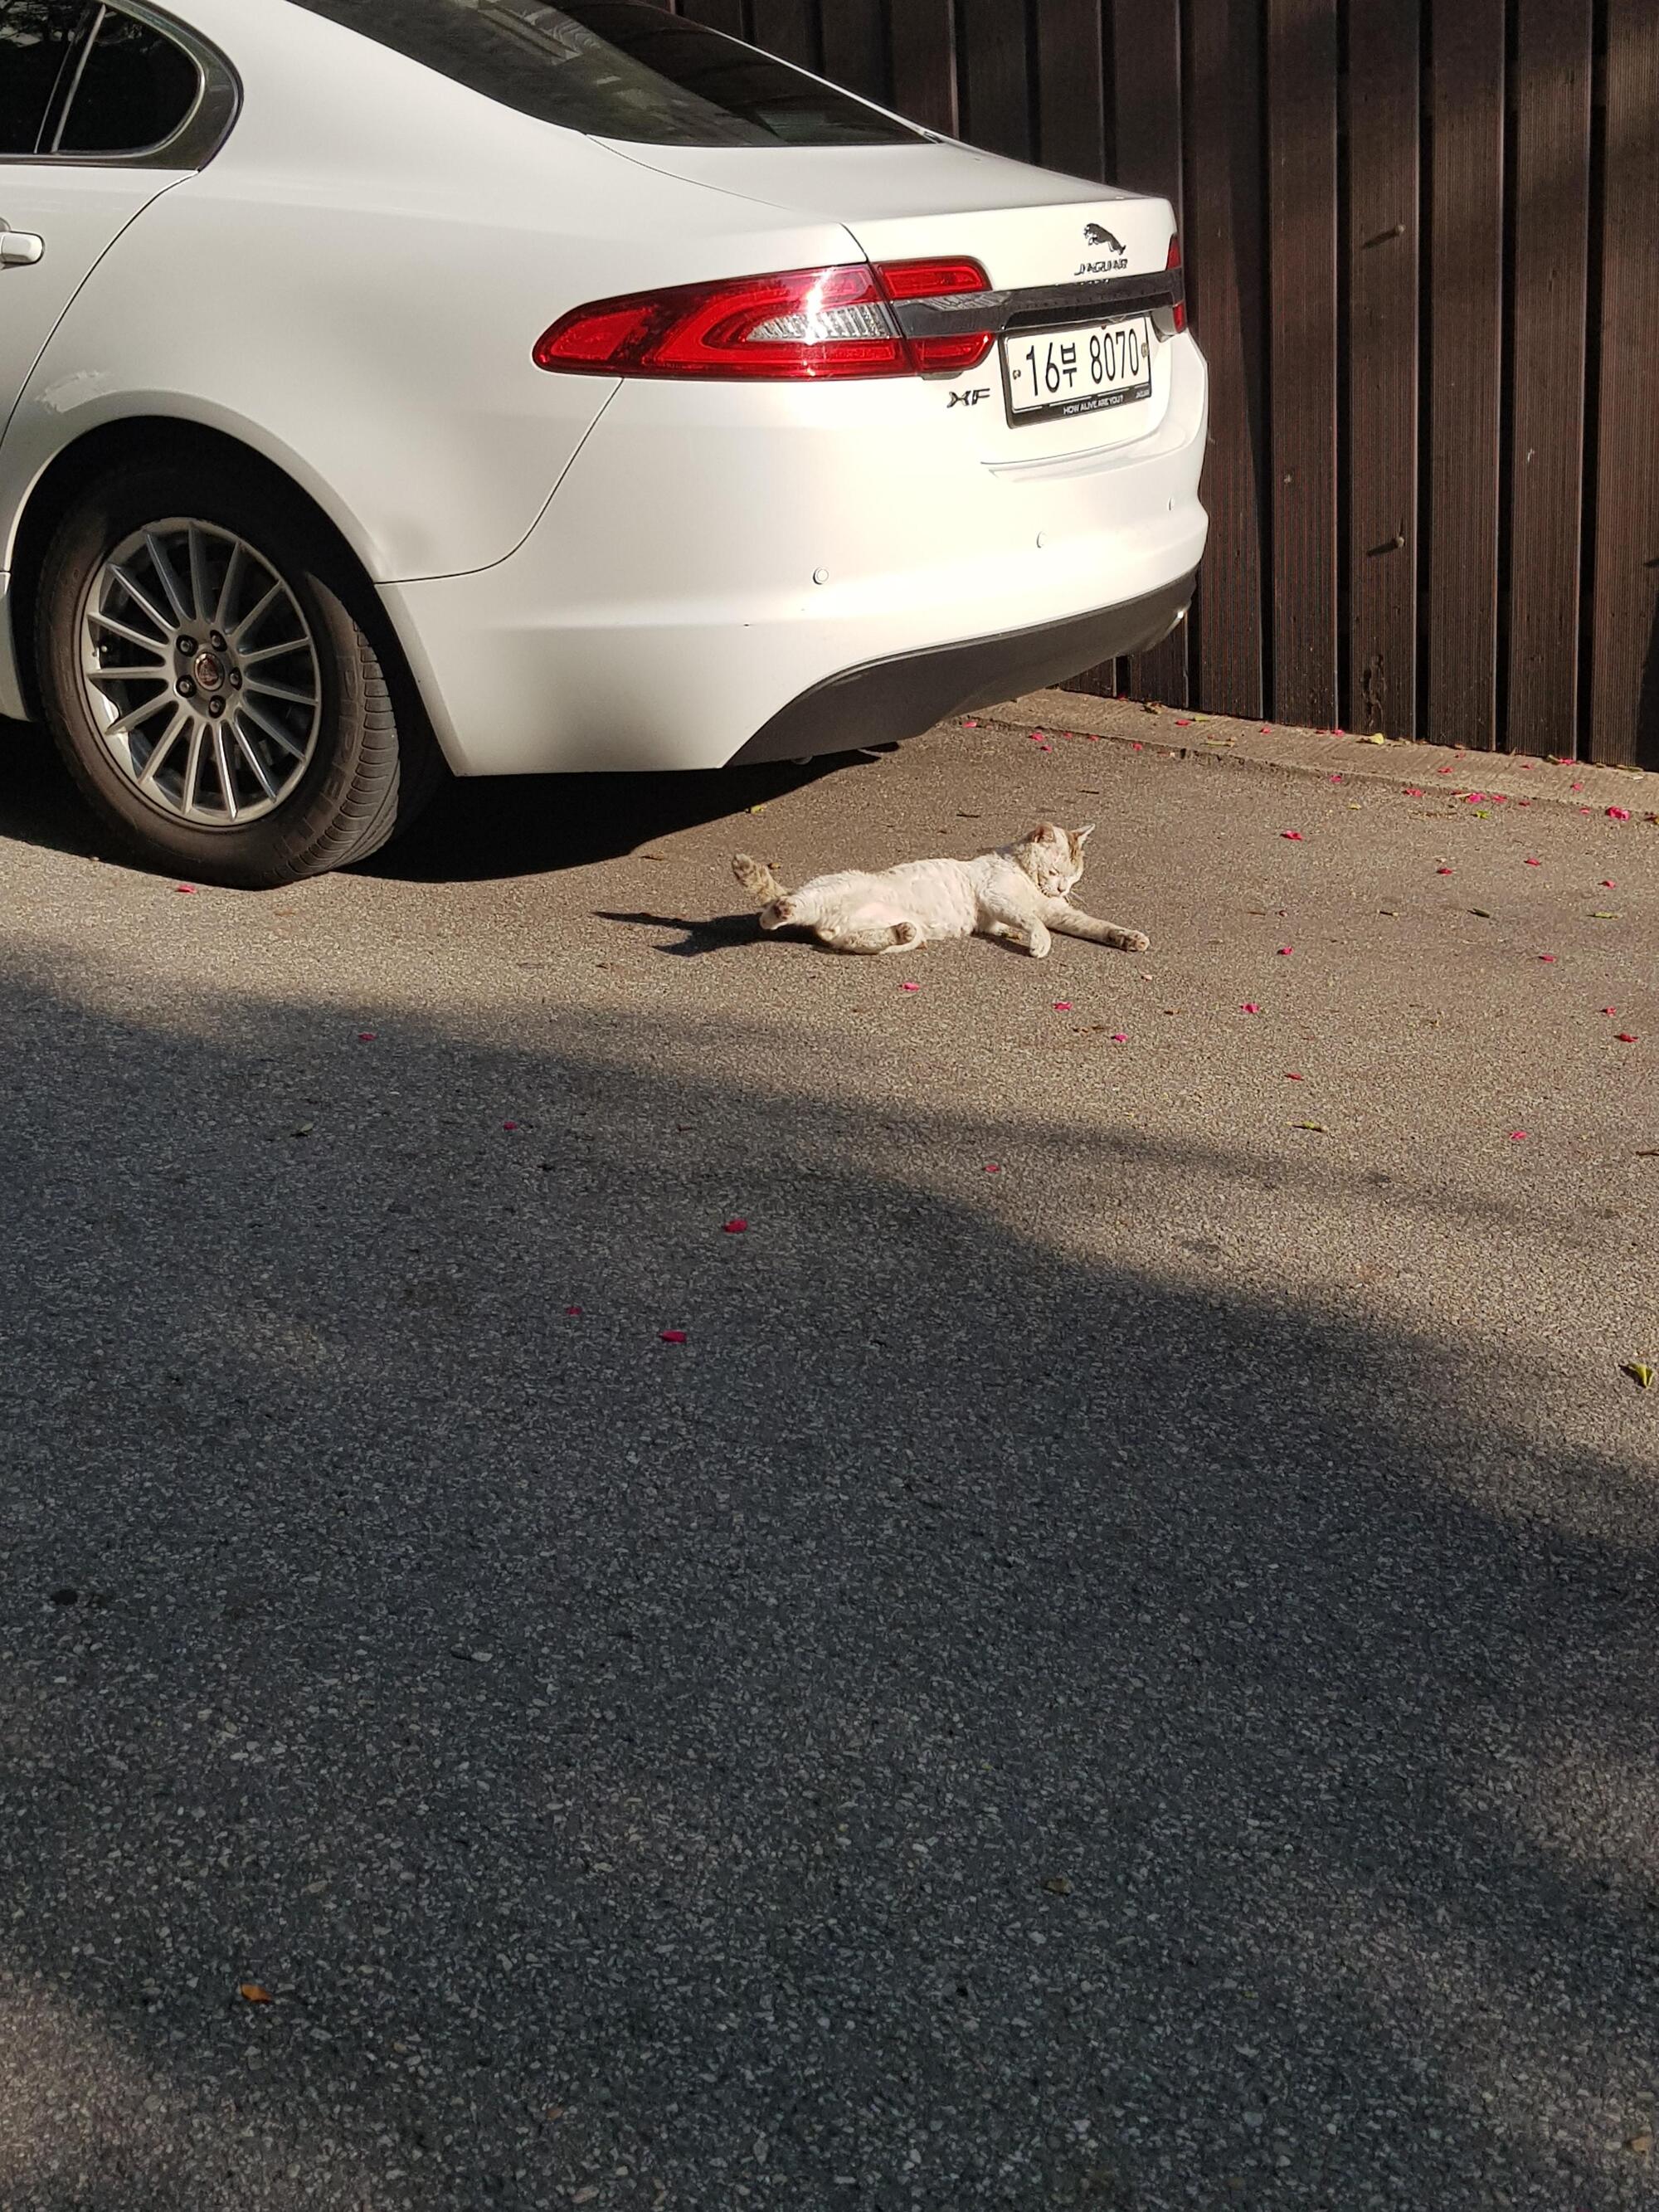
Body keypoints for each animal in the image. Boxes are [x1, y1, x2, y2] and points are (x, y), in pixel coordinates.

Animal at [731, 822, 1150, 959]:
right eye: (1055, 871)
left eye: (1074, 878)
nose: (1062, 888)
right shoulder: (998, 897)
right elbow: (1033, 921)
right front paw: (1039, 943)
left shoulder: (1058, 911)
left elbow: (1094, 924)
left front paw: (1128, 937)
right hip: (827, 892)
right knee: (775, 908)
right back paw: (776, 907)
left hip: (886, 936)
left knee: (863, 940)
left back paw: (898, 930)